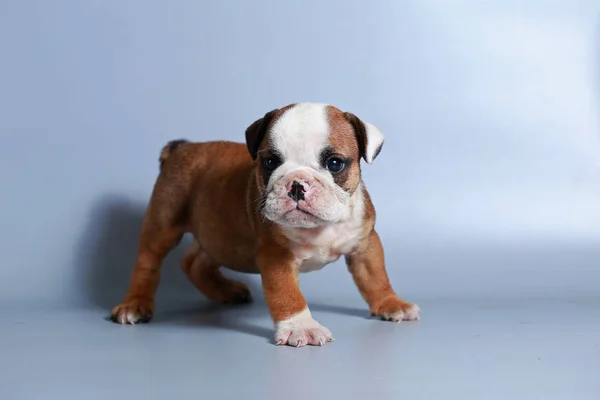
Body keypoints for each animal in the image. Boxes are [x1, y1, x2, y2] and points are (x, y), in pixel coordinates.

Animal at [113, 101, 422, 346]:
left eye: (335, 163)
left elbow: (376, 277)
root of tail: (182, 147)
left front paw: (391, 304)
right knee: (148, 263)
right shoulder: (277, 256)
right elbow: (287, 294)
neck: (320, 227)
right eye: (271, 162)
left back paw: (226, 291)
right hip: (163, 223)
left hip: (222, 236)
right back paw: (134, 304)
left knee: (194, 261)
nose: (296, 184)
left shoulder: (365, 243)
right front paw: (302, 327)